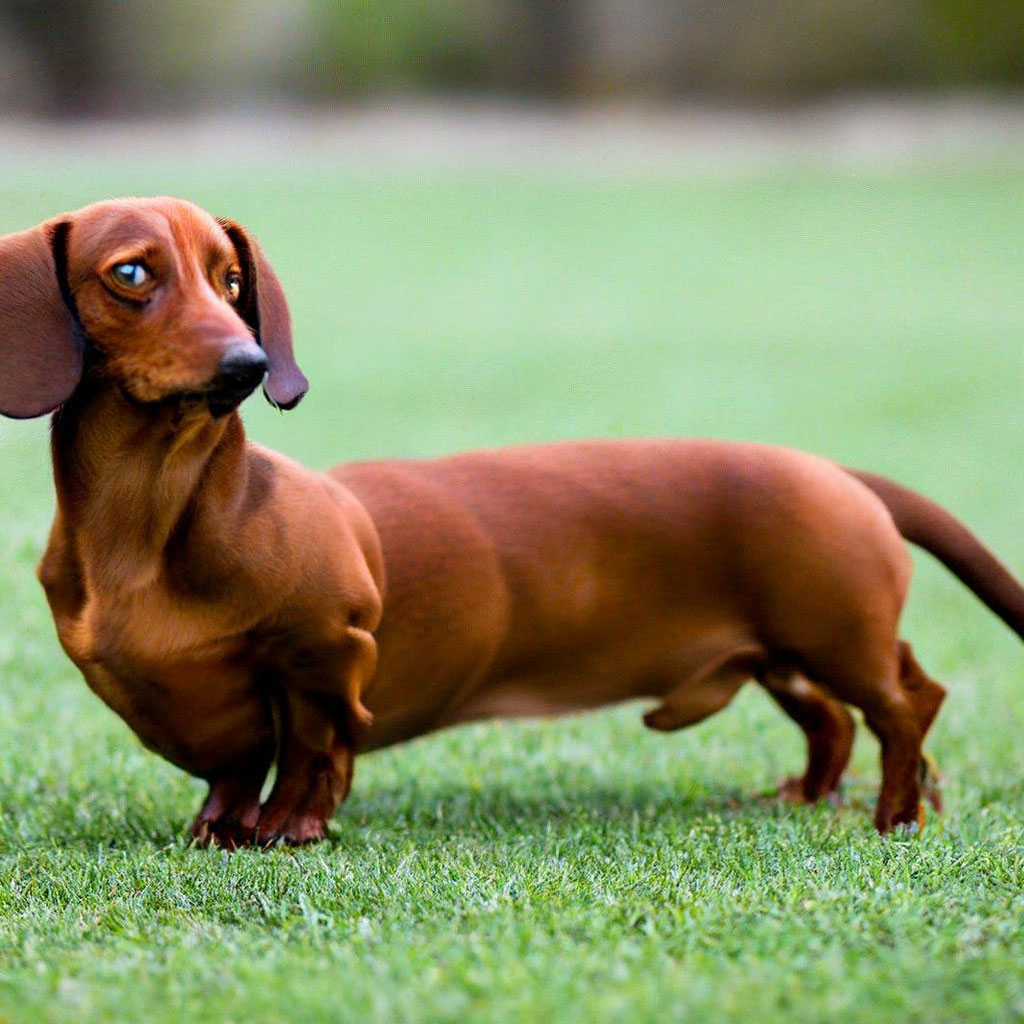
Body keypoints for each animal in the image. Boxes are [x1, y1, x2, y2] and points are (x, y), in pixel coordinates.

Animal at [2, 195, 1024, 843]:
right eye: (132, 272)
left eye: (230, 279)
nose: (250, 365)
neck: (149, 523)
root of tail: (837, 471)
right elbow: (230, 771)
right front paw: (217, 830)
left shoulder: (323, 655)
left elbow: (310, 754)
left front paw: (286, 830)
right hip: (783, 653)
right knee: (834, 722)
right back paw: (807, 798)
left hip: (836, 633)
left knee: (906, 704)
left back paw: (896, 817)